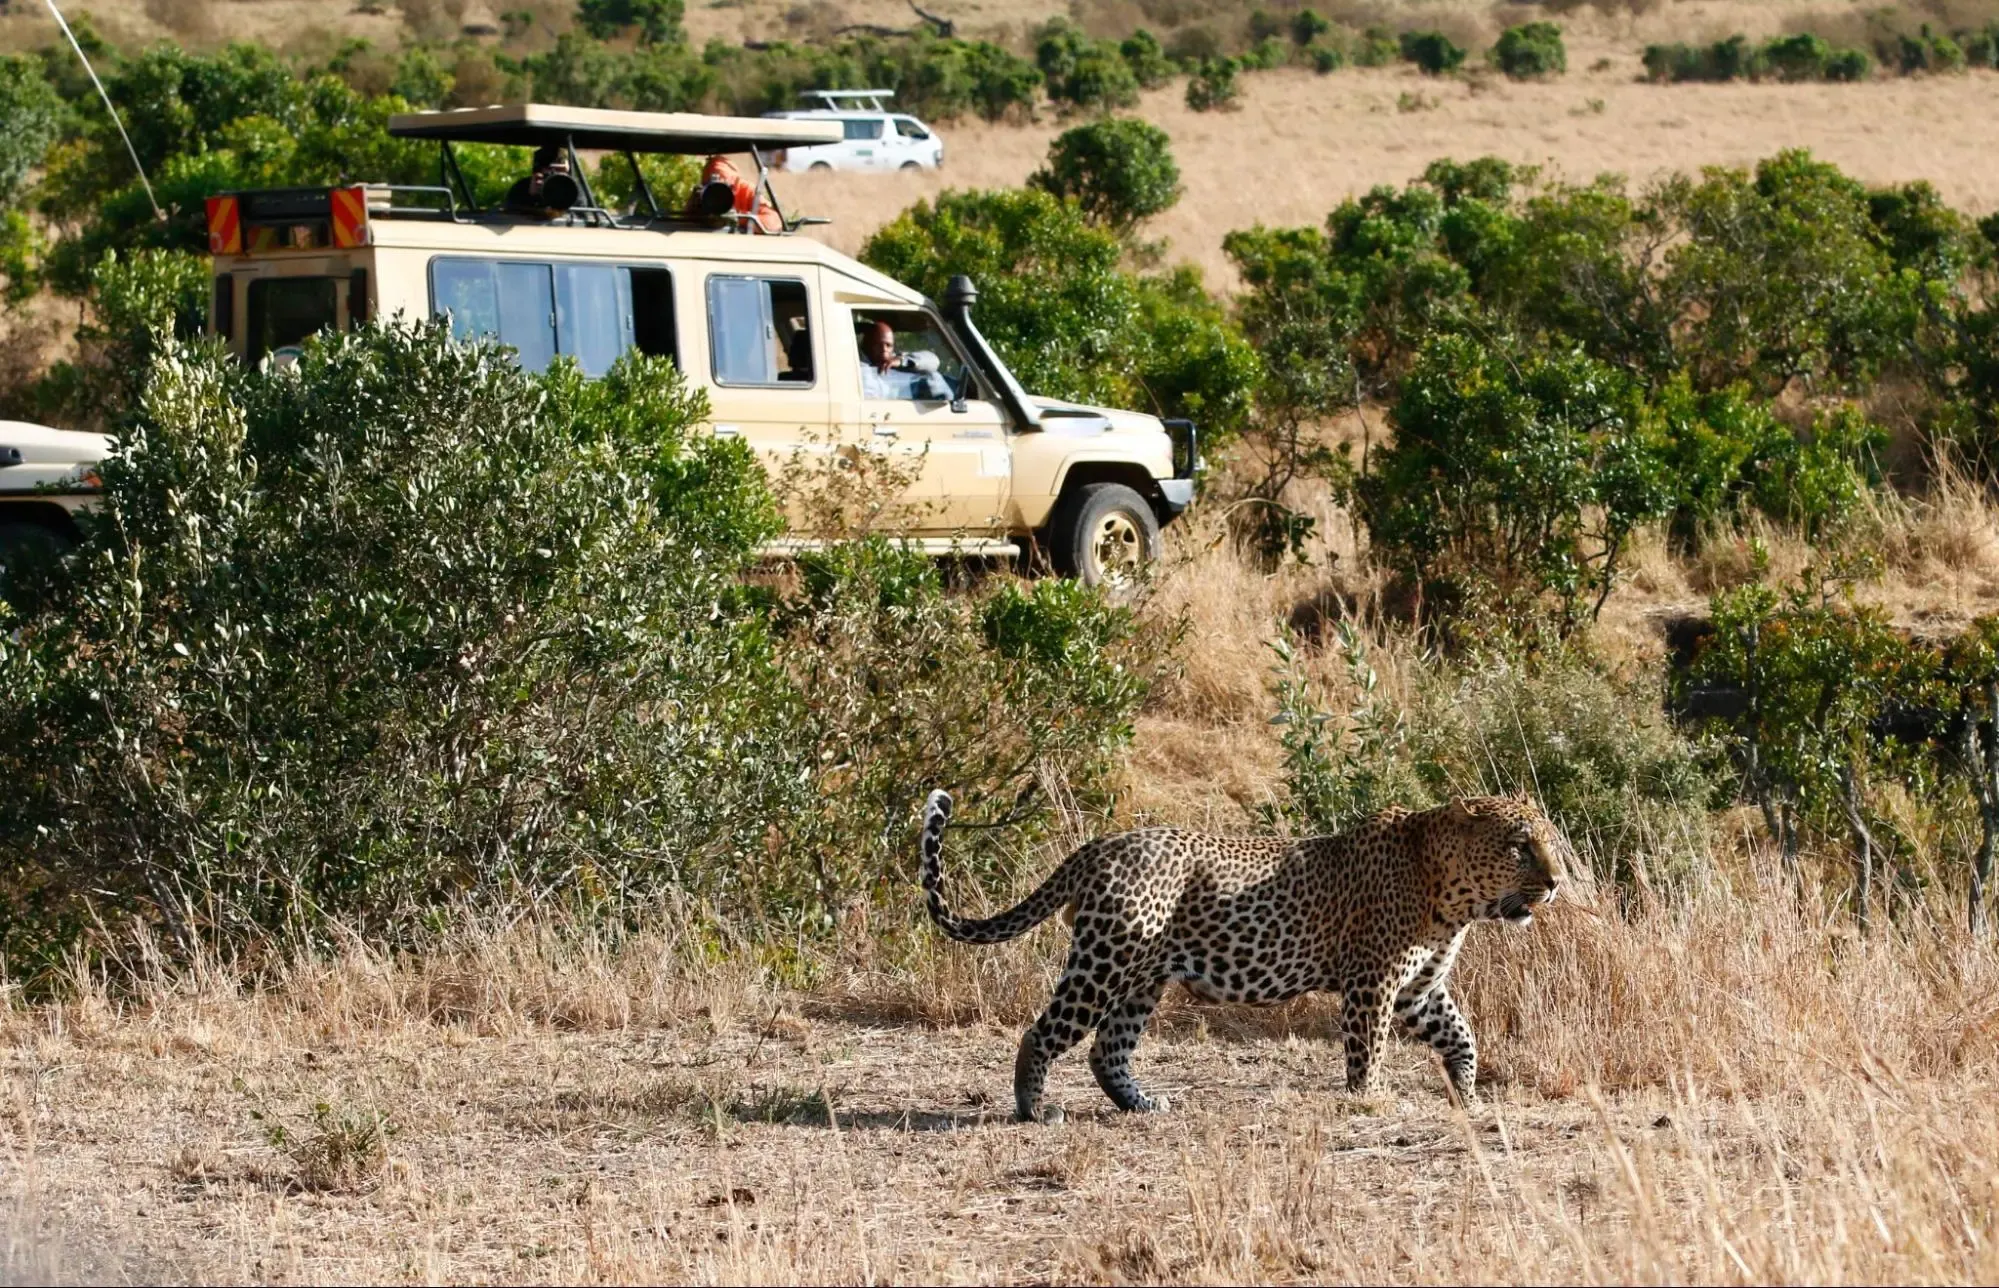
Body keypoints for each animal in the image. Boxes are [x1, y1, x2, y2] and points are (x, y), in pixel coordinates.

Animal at [915, 788, 1567, 1120]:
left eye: (1549, 842)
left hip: (1142, 977)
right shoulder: (1373, 984)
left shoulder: (1419, 990)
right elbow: (1368, 1047)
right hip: (1104, 962)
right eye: (1519, 847)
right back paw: (1032, 1109)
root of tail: (1100, 845)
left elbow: (1462, 1034)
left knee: (1108, 1049)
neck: (1452, 898)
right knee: (1044, 1032)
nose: (1557, 882)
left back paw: (1143, 1104)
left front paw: (1467, 1092)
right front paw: (1369, 1099)